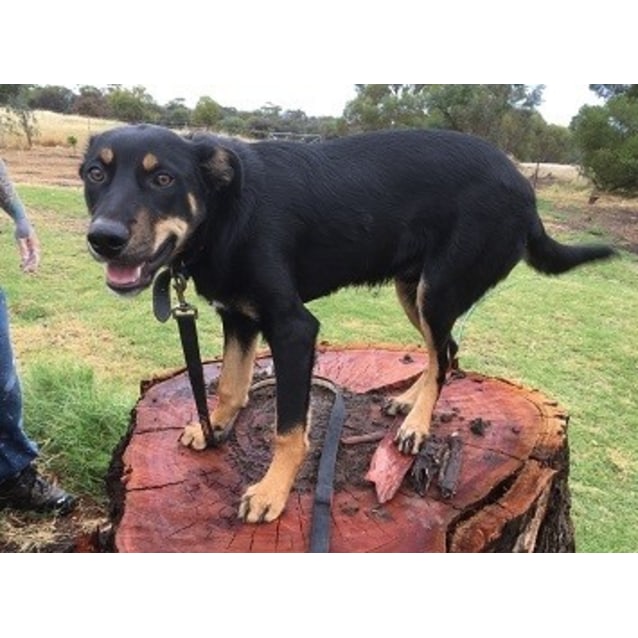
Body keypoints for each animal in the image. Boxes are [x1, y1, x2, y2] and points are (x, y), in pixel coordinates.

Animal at [82, 125, 616, 524]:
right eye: (95, 173)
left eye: (163, 178)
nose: (103, 239)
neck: (224, 211)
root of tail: (526, 191)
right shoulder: (238, 315)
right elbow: (232, 384)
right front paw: (214, 425)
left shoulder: (293, 327)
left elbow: (288, 428)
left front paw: (271, 492)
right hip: (412, 287)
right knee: (443, 353)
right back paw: (408, 401)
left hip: (439, 289)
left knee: (444, 355)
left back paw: (416, 427)